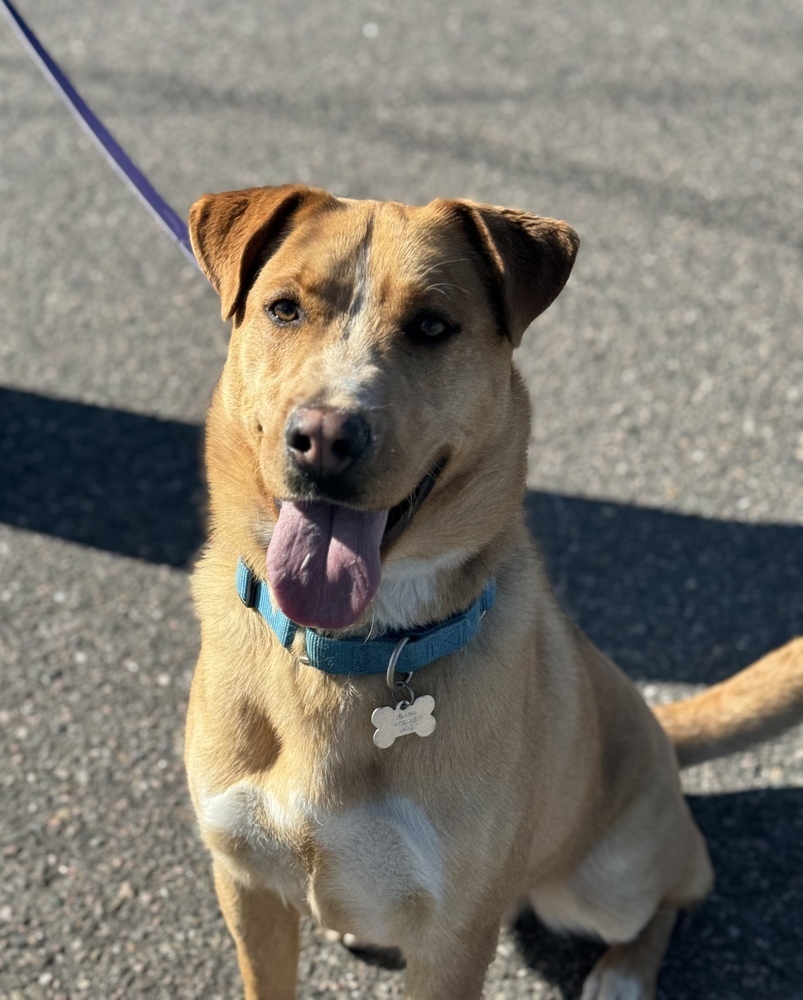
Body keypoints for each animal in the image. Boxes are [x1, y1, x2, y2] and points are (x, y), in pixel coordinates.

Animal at [184, 184, 803, 996]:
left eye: (431, 326)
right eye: (284, 309)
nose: (322, 438)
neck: (349, 651)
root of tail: (658, 732)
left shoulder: (453, 937)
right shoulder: (246, 885)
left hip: (603, 882)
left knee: (683, 886)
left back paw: (623, 972)